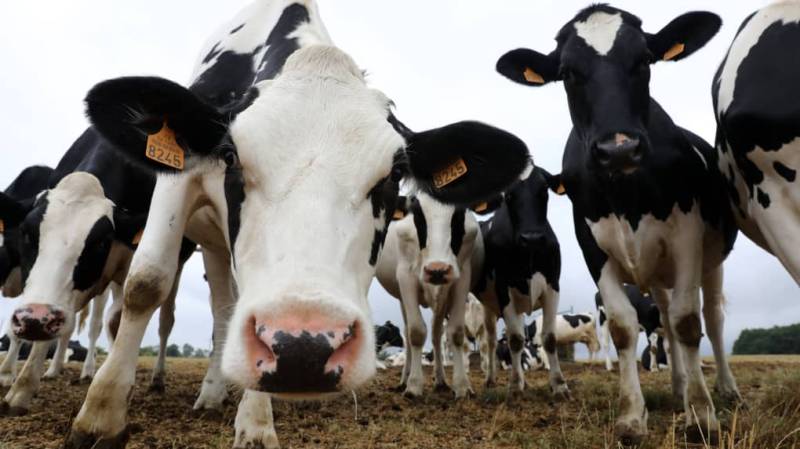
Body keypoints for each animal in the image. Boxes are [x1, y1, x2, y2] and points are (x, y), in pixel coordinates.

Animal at [375, 193, 487, 398]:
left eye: (459, 215)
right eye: (417, 215)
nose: (437, 270)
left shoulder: (462, 278)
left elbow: (456, 332)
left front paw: (462, 386)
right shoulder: (406, 277)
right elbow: (416, 332)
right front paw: (413, 385)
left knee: (436, 334)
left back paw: (441, 380)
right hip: (402, 296)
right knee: (408, 333)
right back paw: (404, 379)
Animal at [472, 164, 568, 397]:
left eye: (544, 191)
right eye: (508, 195)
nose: (532, 237)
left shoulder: (553, 285)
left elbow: (549, 338)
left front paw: (559, 385)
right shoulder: (504, 289)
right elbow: (515, 339)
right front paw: (515, 385)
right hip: (486, 303)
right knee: (490, 341)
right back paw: (491, 379)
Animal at [496, 4, 739, 443]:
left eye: (644, 59)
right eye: (567, 72)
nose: (618, 149)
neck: (628, 198)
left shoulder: (688, 238)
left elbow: (687, 322)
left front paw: (701, 415)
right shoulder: (593, 246)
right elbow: (627, 327)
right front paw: (631, 416)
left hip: (711, 262)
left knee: (711, 319)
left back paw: (725, 389)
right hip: (656, 275)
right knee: (664, 321)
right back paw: (677, 386)